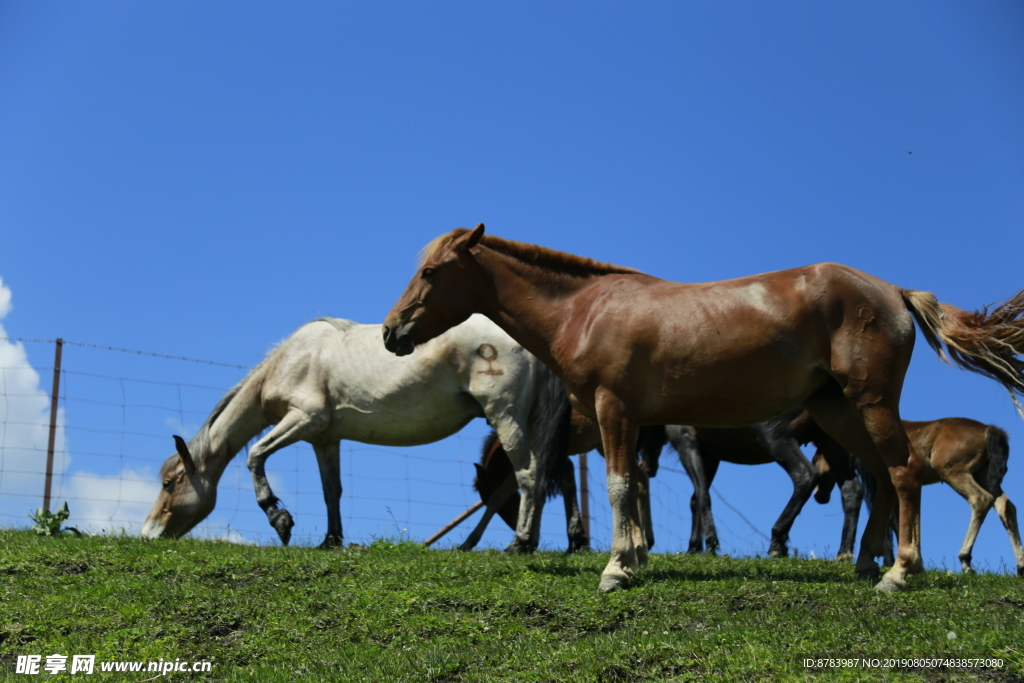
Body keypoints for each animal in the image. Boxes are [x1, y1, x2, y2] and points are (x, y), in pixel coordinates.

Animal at [142, 315, 577, 548]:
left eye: (168, 484)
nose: (148, 532)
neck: (292, 359)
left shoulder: (303, 420)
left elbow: (255, 455)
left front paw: (279, 517)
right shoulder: (324, 438)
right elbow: (331, 491)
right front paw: (331, 540)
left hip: (505, 417)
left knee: (528, 475)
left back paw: (519, 544)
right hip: (529, 423)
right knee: (543, 476)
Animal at [811, 417, 1019, 577]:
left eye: (815, 460)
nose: (819, 496)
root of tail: (990, 430)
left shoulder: (880, 482)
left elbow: (888, 519)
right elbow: (897, 519)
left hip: (955, 473)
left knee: (981, 500)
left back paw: (965, 559)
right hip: (985, 476)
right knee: (1006, 506)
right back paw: (1021, 566)